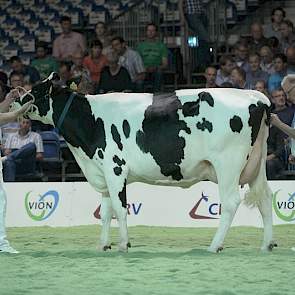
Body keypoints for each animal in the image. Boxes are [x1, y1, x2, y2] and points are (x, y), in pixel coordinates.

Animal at [13, 73, 276, 252]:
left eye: (34, 90)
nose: (15, 100)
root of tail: (254, 96)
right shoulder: (102, 172)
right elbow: (105, 212)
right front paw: (103, 245)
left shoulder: (115, 168)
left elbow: (120, 208)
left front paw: (124, 244)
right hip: (256, 164)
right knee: (264, 198)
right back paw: (267, 244)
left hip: (228, 164)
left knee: (230, 202)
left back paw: (214, 246)